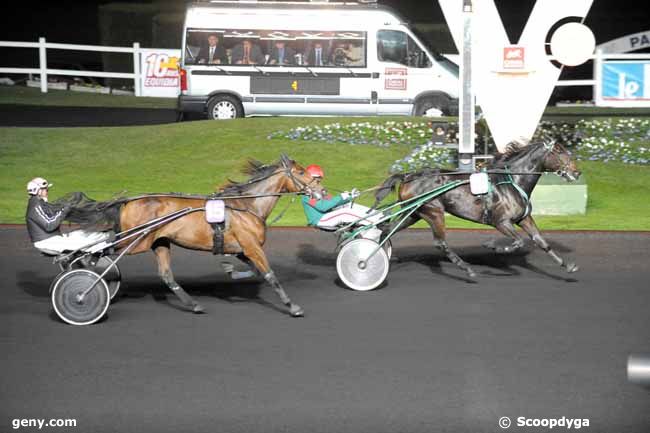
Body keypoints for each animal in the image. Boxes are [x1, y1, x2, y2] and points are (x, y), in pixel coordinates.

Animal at [82, 154, 320, 316]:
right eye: (300, 172)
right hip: (135, 241)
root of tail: (128, 201)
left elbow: (253, 270)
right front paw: (293, 306)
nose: (320, 190)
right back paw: (85, 276)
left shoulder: (242, 250)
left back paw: (194, 304)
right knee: (100, 251)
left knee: (166, 275)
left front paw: (230, 270)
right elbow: (270, 275)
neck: (247, 205)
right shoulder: (252, 247)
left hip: (159, 242)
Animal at [372, 140, 580, 278]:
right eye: (560, 152)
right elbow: (518, 241)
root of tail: (408, 176)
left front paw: (567, 265)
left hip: (414, 213)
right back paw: (466, 268)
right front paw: (494, 247)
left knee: (387, 230)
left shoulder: (524, 219)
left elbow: (541, 241)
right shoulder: (501, 221)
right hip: (433, 211)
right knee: (440, 243)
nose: (577, 172)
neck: (512, 181)